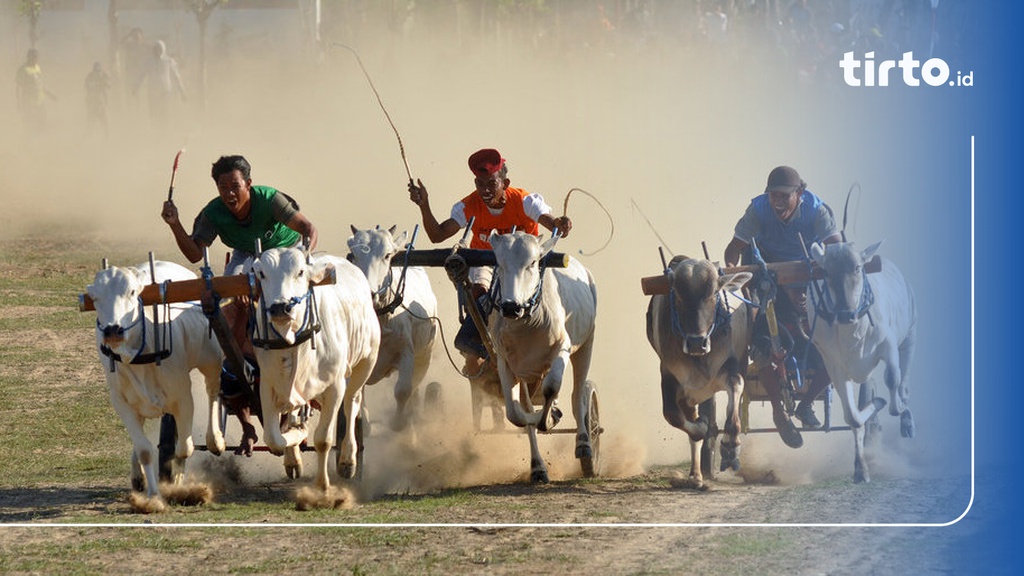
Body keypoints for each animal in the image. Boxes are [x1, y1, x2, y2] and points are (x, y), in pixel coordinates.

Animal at [87, 260, 225, 498]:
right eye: (94, 297)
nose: (113, 330)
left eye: (132, 292)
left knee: (212, 393)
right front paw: (153, 494)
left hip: (211, 359)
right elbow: (144, 450)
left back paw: (215, 439)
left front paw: (177, 481)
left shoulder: (183, 397)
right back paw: (138, 477)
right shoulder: (122, 403)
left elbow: (185, 448)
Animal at [250, 247, 380, 487]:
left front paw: (322, 484)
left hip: (365, 363)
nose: (280, 307)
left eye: (300, 271)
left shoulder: (336, 386)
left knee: (352, 405)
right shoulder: (268, 384)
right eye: (261, 273)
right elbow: (274, 438)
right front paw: (294, 438)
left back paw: (348, 460)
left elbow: (323, 440)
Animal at [348, 224, 436, 434]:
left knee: (415, 386)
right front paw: (364, 424)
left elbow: (403, 390)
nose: (370, 293)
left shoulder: (407, 353)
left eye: (387, 255)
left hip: (425, 355)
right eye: (353, 254)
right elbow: (356, 392)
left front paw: (398, 422)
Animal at [487, 228, 598, 479]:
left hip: (586, 345)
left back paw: (584, 443)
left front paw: (550, 418)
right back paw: (538, 465)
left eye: (533, 262)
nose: (510, 307)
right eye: (499, 263)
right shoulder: (505, 362)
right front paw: (539, 421)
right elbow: (517, 413)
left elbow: (552, 389)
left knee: (578, 395)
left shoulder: (562, 349)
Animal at [806, 239, 921, 481]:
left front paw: (892, 405)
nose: (845, 314)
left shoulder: (888, 344)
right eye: (826, 271)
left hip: (910, 337)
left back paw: (907, 420)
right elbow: (854, 418)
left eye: (857, 268)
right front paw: (860, 468)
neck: (854, 331)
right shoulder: (834, 366)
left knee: (904, 385)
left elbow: (892, 381)